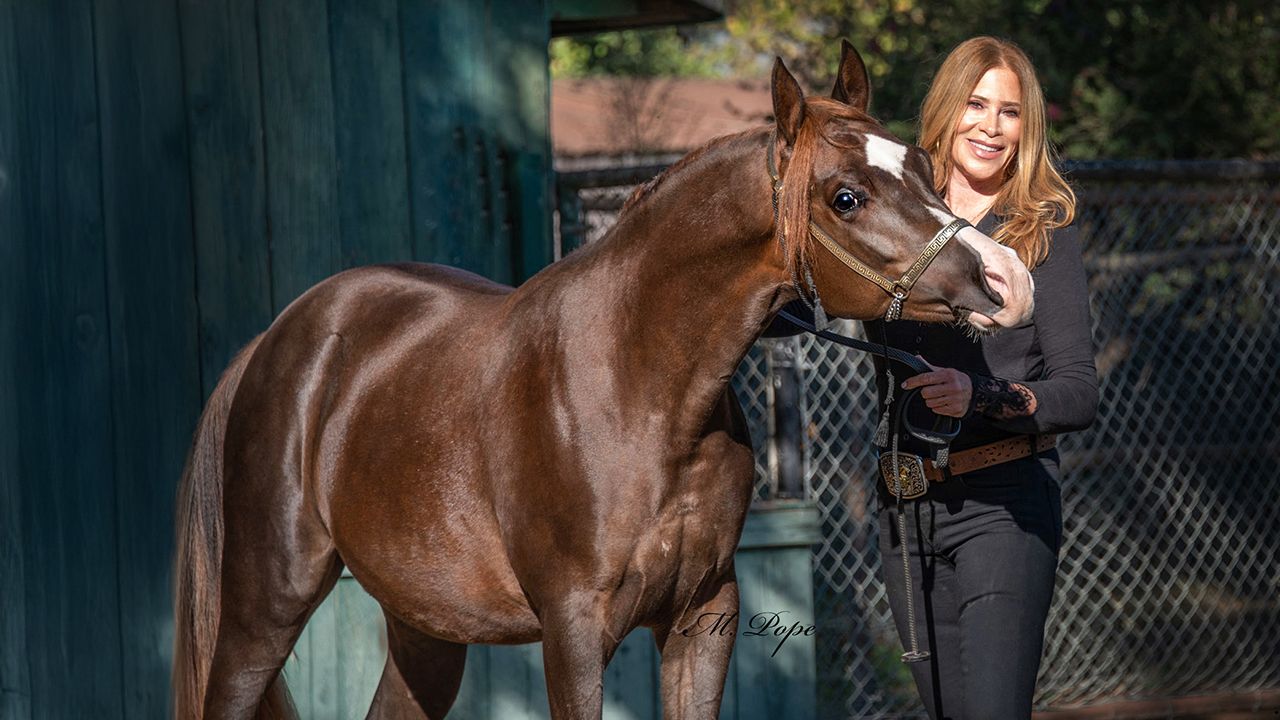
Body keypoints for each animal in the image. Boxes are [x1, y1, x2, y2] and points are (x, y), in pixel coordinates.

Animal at [172, 42, 1033, 720]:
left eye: (923, 168)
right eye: (845, 196)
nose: (1006, 280)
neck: (641, 388)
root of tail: (279, 339)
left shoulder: (703, 618)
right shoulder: (575, 630)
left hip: (425, 625)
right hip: (266, 604)